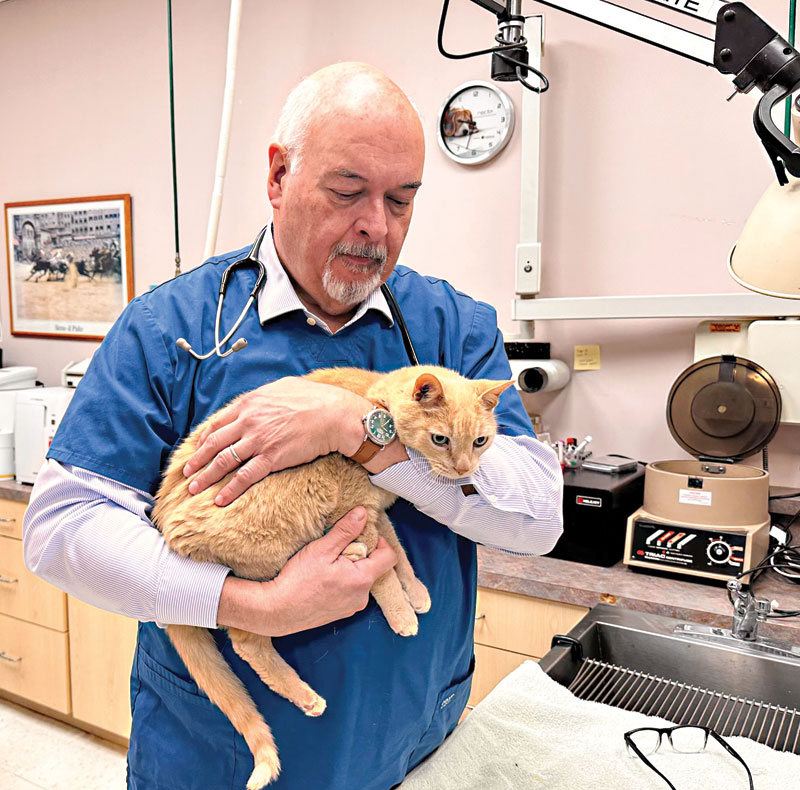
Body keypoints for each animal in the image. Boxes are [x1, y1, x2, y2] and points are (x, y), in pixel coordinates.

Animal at [152, 365, 513, 790]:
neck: (373, 395)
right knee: (247, 641)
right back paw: (306, 692)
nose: (463, 470)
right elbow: (383, 574)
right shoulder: (354, 511)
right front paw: (402, 614)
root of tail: (167, 533)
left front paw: (416, 592)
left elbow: (398, 553)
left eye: (480, 441)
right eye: (441, 439)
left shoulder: (374, 513)